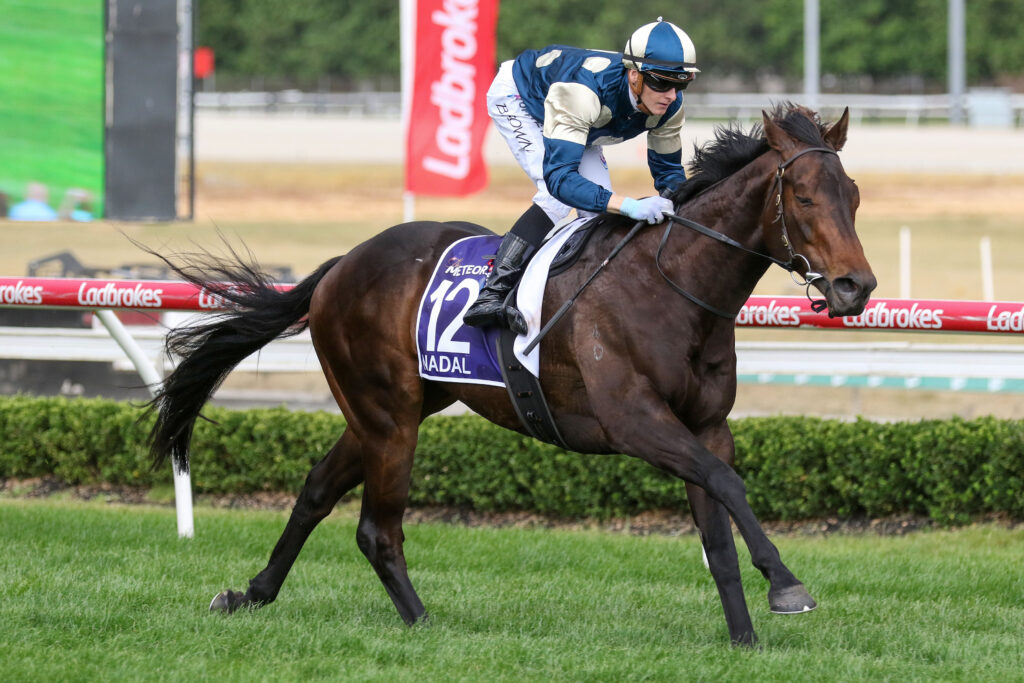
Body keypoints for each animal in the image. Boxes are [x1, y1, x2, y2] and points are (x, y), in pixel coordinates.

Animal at [147, 103, 875, 646]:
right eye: (803, 195)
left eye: (855, 195)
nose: (856, 286)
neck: (673, 285)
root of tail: (340, 265)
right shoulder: (636, 422)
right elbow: (726, 483)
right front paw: (787, 585)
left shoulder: (706, 424)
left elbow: (718, 524)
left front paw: (744, 638)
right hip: (389, 417)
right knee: (377, 528)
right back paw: (424, 624)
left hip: (388, 410)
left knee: (318, 490)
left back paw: (251, 592)